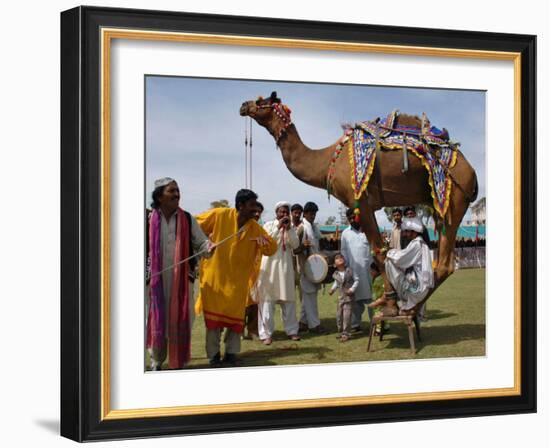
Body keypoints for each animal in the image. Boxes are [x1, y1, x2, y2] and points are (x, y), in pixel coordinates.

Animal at [240, 93, 478, 310]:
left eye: (261, 101)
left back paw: (411, 305)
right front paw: (387, 299)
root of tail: (472, 173)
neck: (328, 162)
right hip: (439, 206)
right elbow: (379, 251)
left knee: (445, 263)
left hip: (454, 197)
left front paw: (387, 301)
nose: (244, 105)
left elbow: (379, 251)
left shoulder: (360, 201)